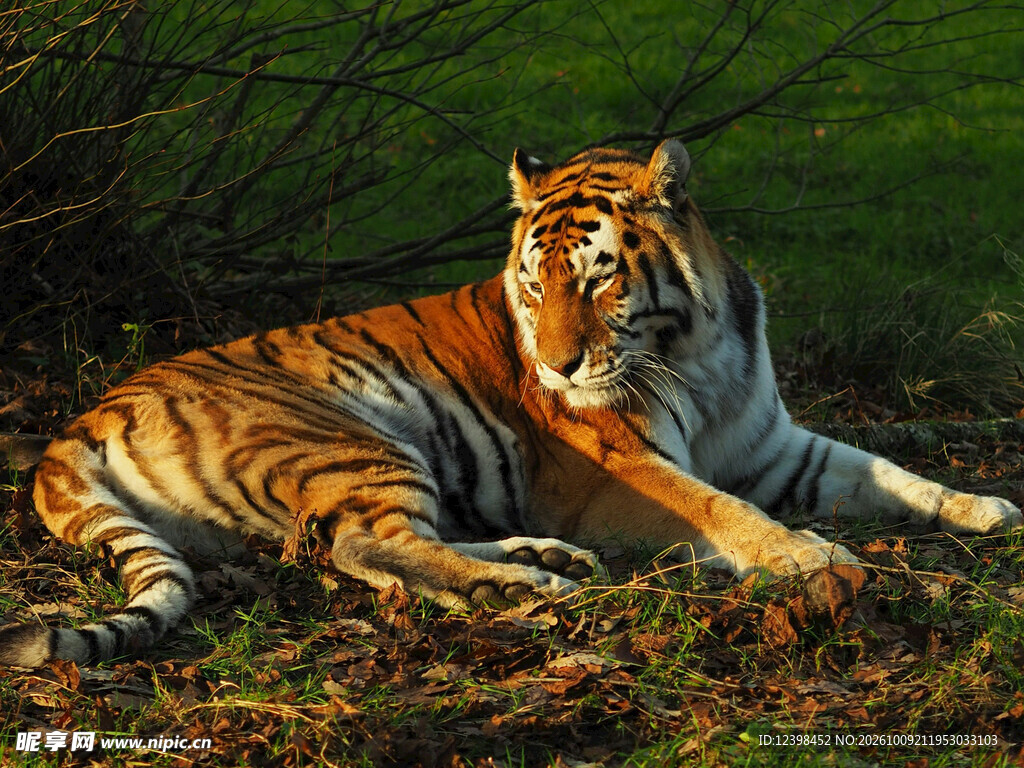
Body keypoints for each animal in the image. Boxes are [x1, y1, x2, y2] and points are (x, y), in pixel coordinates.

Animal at [2, 139, 1020, 667]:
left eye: (600, 278)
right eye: (534, 286)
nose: (562, 371)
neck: (700, 353)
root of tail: (86, 415)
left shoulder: (775, 447)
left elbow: (892, 471)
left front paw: (987, 507)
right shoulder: (621, 473)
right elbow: (722, 512)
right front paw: (810, 558)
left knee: (377, 547)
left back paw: (539, 558)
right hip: (351, 438)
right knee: (364, 545)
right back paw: (527, 585)